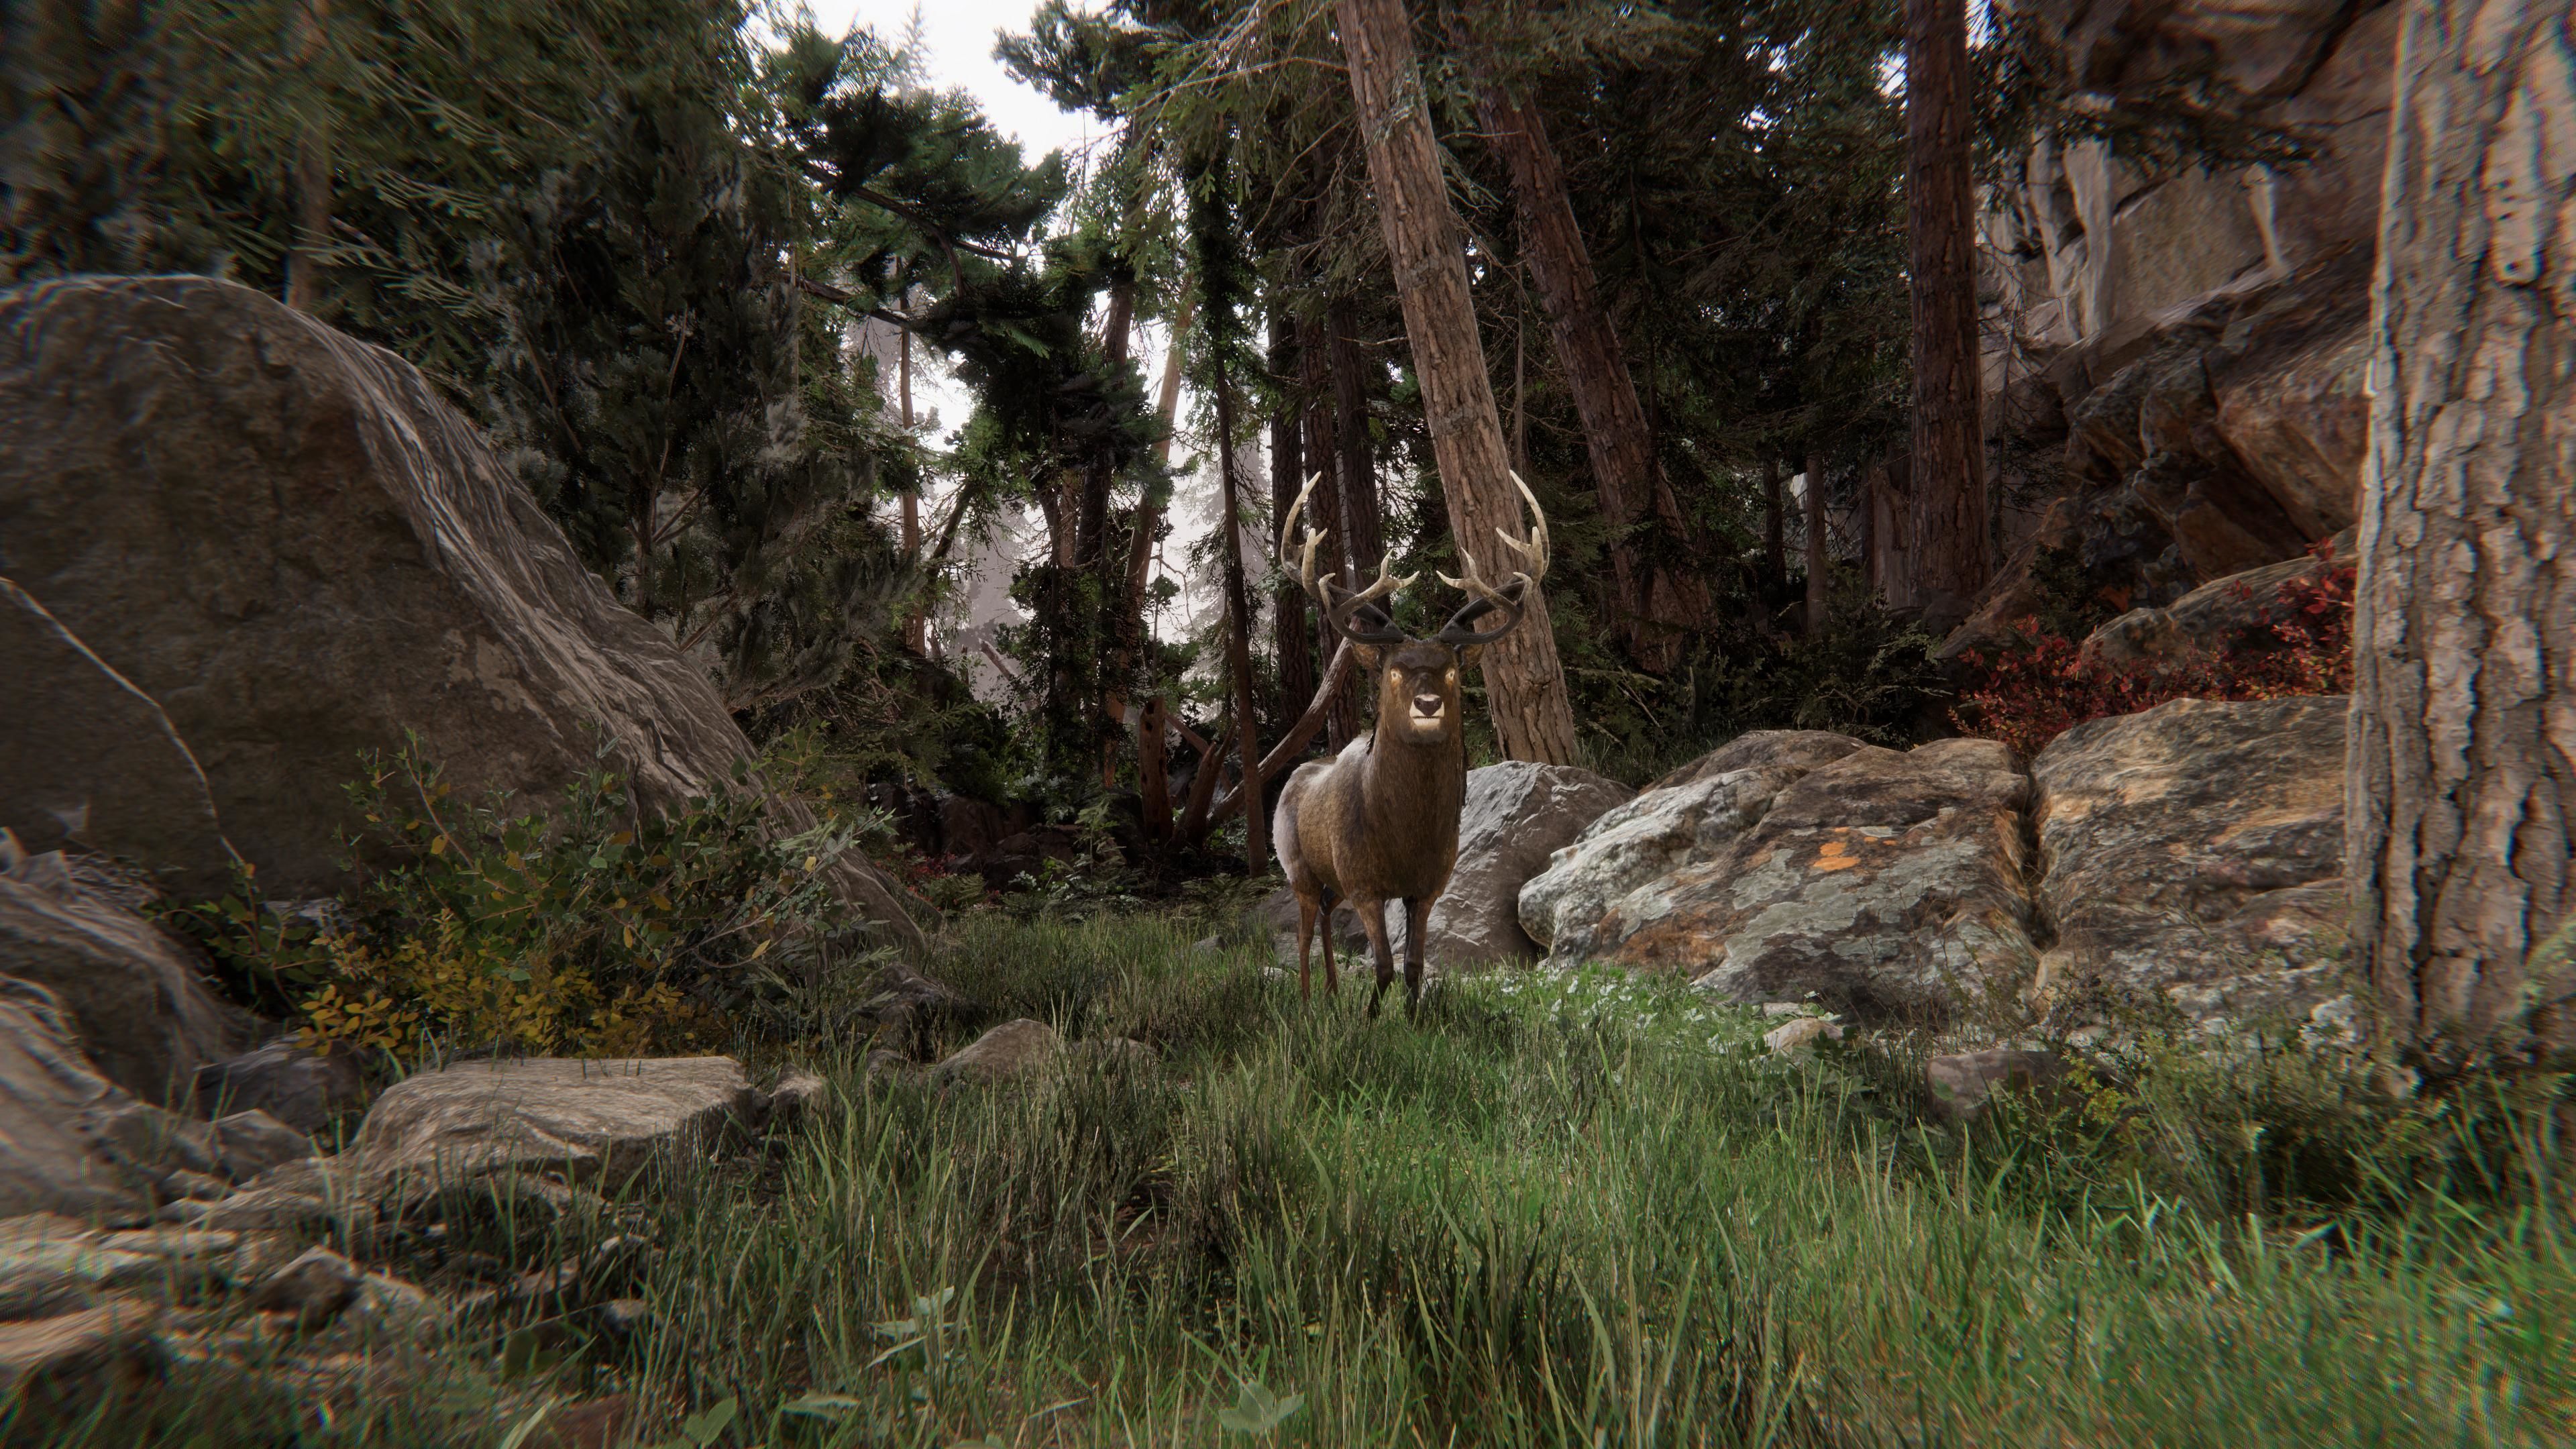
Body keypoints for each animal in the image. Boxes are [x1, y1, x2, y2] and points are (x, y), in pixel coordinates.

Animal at [1270, 469, 1551, 1018]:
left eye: (1450, 670)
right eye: (1395, 671)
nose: (1427, 703)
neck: (1403, 833)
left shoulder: (1429, 885)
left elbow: (1414, 966)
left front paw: (1416, 1019)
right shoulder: (1363, 881)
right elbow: (1382, 966)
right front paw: (1370, 1022)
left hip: (1332, 883)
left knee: (1327, 923)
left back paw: (1332, 994)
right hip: (1298, 868)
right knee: (1304, 932)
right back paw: (1310, 1002)